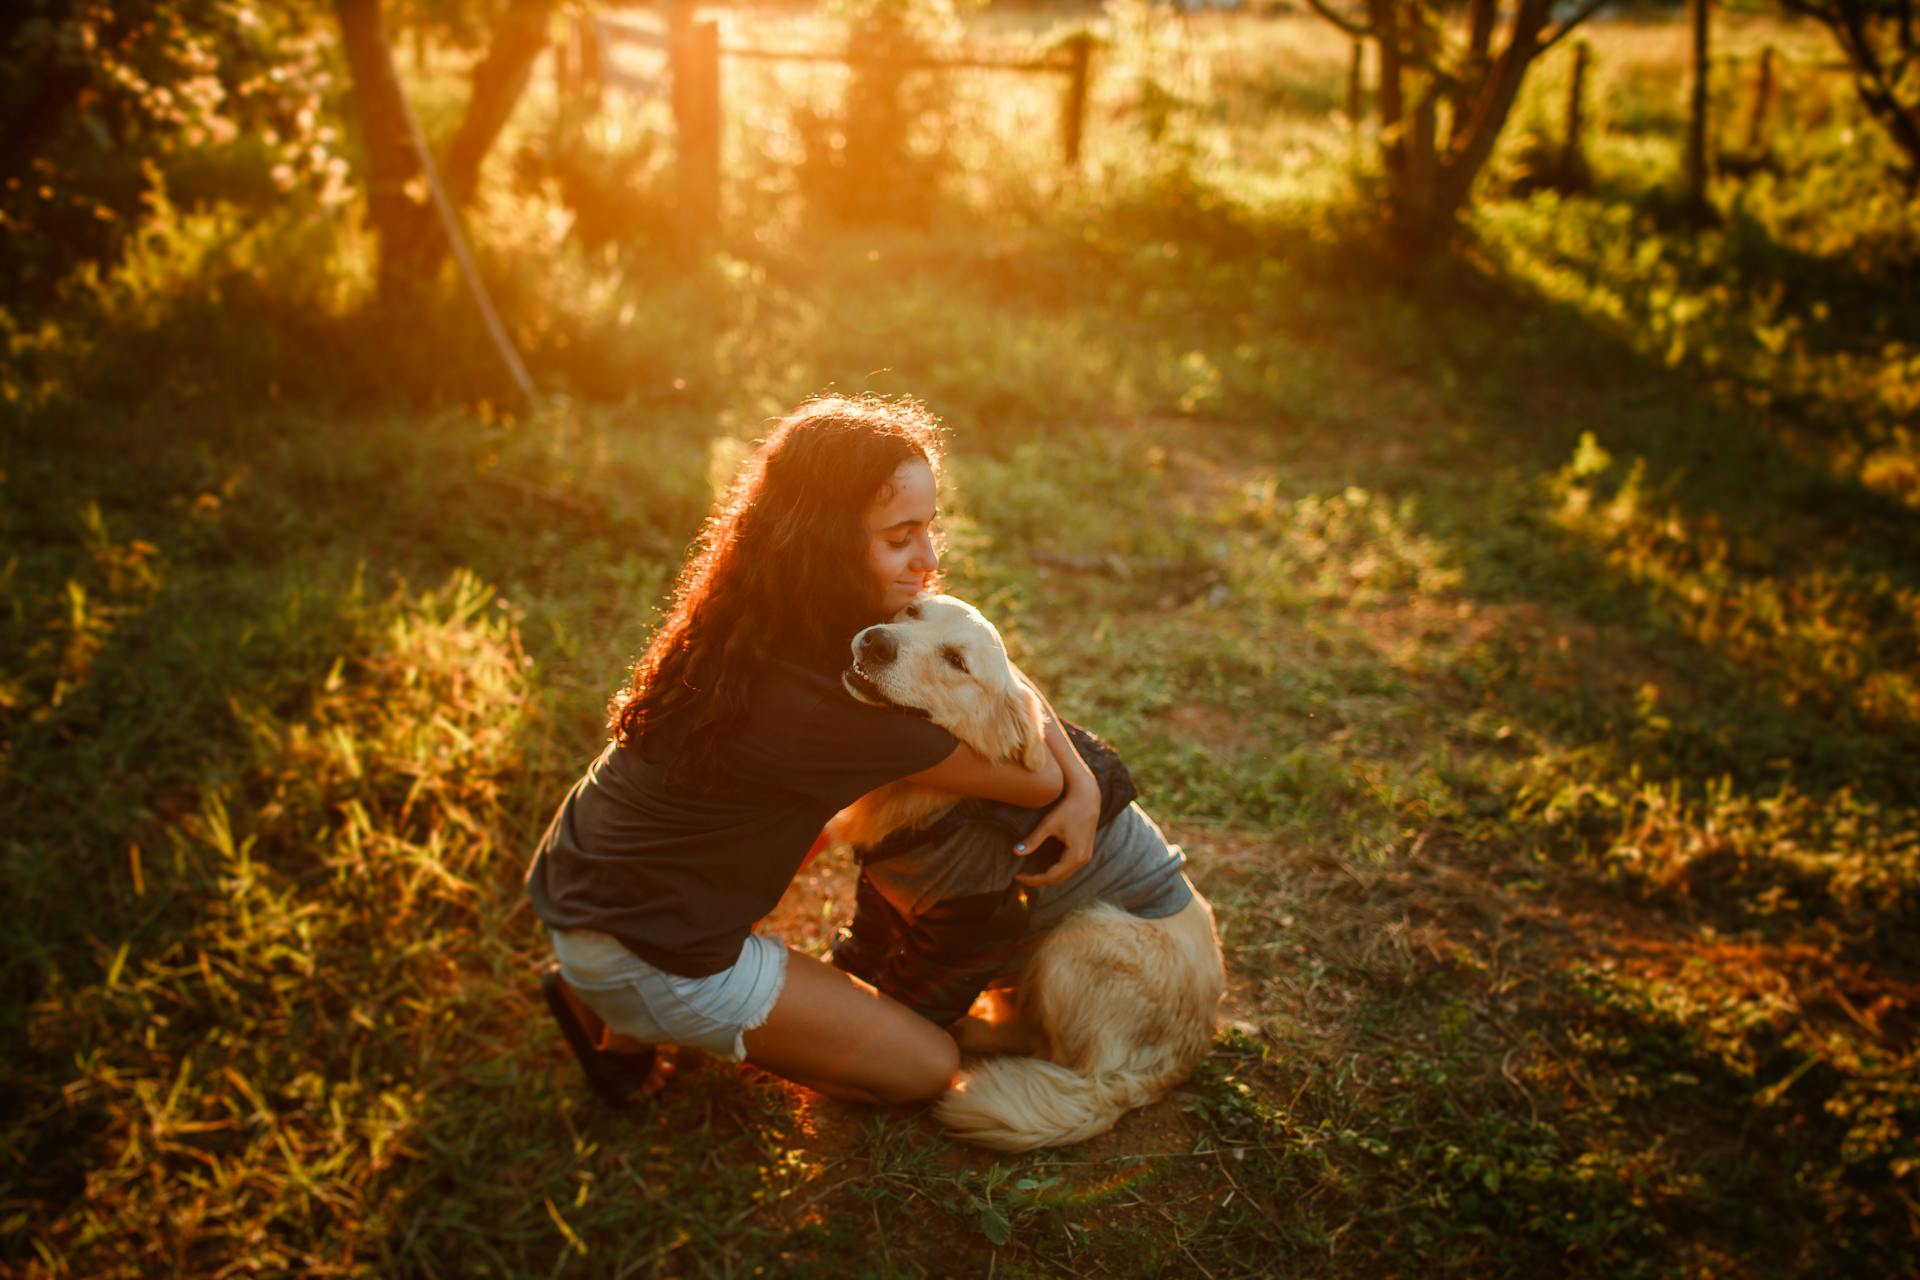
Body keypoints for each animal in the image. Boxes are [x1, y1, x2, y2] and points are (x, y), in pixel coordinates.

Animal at [829, 594, 1221, 1159]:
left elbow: (910, 995)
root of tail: (1177, 1060)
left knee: (1045, 1046)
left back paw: (972, 1035)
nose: (876, 642)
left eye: (956, 661)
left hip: (1082, 933)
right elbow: (864, 944)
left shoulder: (965, 931)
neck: (937, 803)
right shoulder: (881, 895)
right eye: (911, 611)